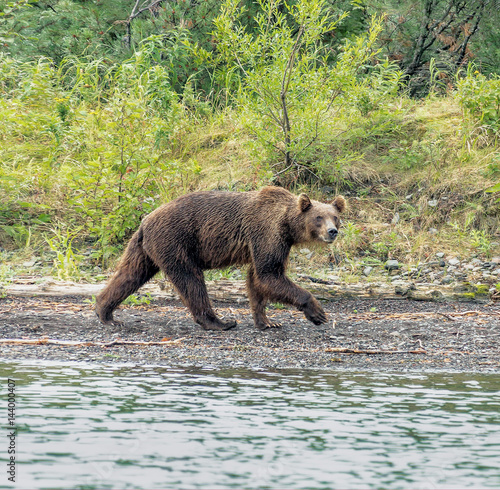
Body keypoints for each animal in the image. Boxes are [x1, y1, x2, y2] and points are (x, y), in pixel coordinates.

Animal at [94, 186, 344, 332]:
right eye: (318, 217)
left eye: (335, 217)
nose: (332, 232)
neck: (287, 226)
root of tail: (145, 220)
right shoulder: (267, 233)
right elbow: (269, 274)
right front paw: (317, 312)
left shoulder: (269, 243)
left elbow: (257, 279)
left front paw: (267, 321)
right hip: (176, 240)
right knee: (191, 280)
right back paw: (220, 322)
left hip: (143, 248)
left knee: (130, 274)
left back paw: (106, 313)